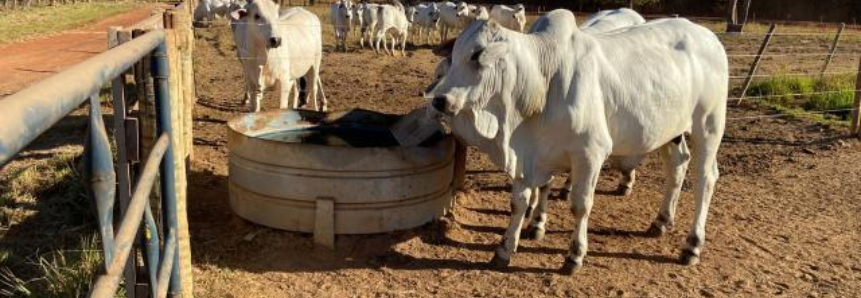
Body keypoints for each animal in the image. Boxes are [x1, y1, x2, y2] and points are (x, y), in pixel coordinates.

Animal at [424, 9, 724, 272]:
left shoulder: (590, 154)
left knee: (705, 178)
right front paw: (505, 249)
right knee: (678, 165)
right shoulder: (529, 157)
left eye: (476, 55)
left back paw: (692, 245)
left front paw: (574, 255)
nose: (439, 100)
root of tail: (708, 36)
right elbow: (519, 201)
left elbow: (580, 205)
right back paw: (661, 221)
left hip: (709, 126)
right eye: (453, 54)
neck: (540, 82)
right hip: (670, 132)